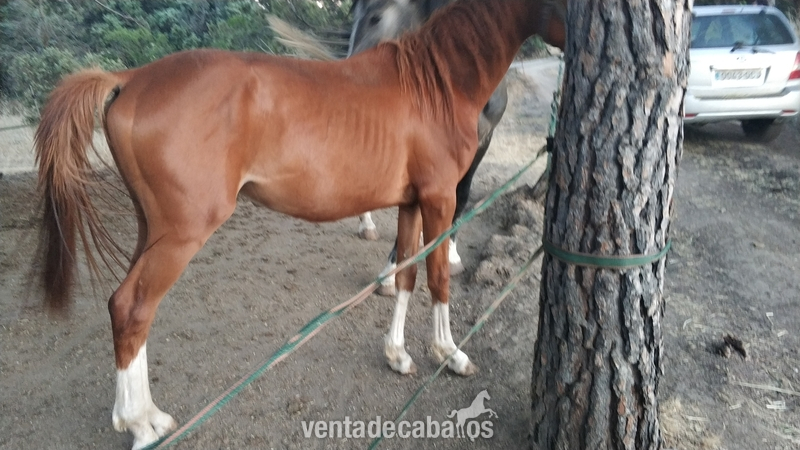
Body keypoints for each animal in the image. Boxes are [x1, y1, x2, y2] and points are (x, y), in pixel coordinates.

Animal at [34, 1, 566, 448]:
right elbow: (437, 278)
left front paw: (397, 355)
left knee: (125, 307)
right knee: (133, 309)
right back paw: (142, 425)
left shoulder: (412, 203)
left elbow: (406, 274)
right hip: (181, 234)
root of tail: (131, 78)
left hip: (152, 228)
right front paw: (449, 354)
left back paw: (147, 417)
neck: (435, 83)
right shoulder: (439, 199)